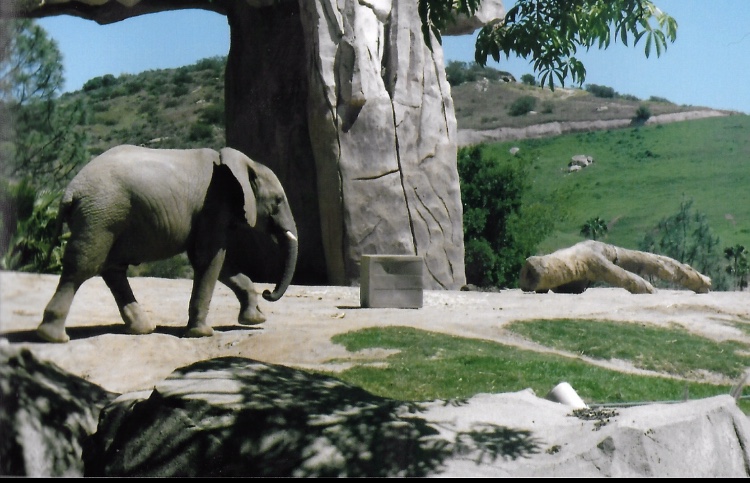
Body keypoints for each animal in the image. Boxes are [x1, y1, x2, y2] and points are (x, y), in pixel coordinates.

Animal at [37, 144, 298, 343]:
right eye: (278, 201)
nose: (268, 293)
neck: (242, 164)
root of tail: (69, 191)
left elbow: (219, 264)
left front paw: (255, 320)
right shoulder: (213, 205)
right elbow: (209, 258)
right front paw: (202, 334)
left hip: (108, 217)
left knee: (112, 269)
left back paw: (143, 329)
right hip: (101, 216)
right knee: (83, 266)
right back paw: (53, 337)